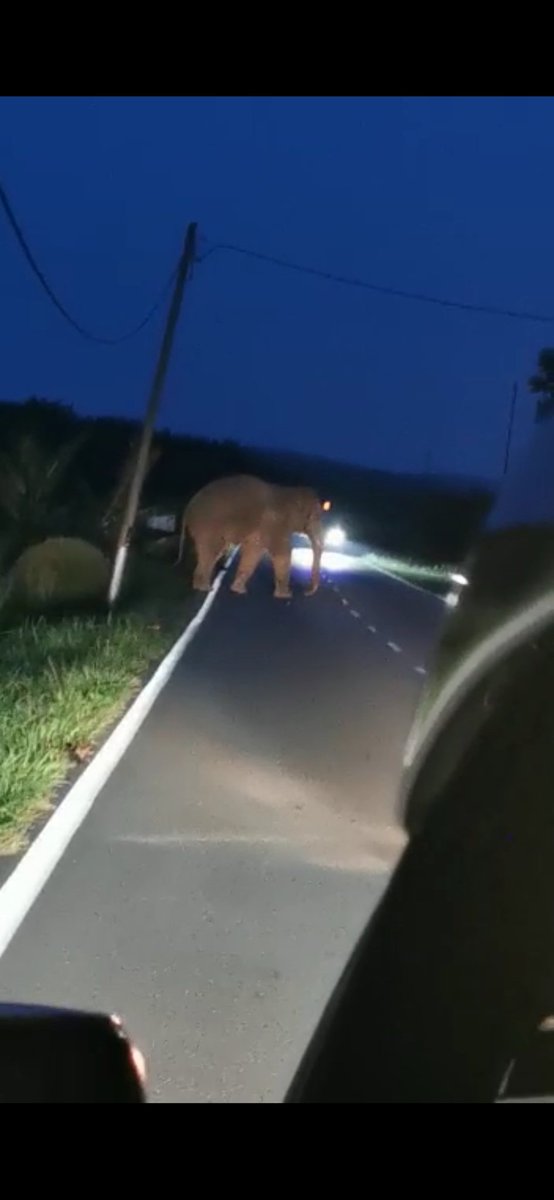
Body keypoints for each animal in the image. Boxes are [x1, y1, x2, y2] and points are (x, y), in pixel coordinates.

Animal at [176, 470, 323, 597]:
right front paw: (286, 595)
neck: (289, 491)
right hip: (207, 526)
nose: (305, 592)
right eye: (314, 517)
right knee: (213, 551)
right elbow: (282, 553)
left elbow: (253, 551)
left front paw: (238, 590)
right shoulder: (275, 523)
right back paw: (204, 588)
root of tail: (188, 508)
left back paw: (203, 586)